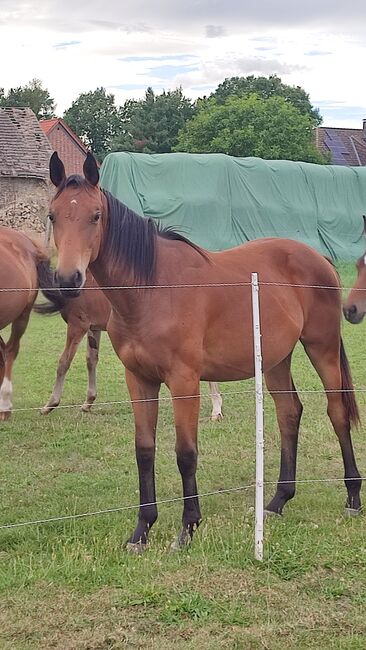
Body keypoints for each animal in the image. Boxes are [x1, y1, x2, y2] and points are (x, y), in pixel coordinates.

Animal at [37, 270, 223, 418]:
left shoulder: (77, 325)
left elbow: (64, 362)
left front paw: (50, 405)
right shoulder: (93, 328)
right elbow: (91, 360)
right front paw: (88, 402)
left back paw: (216, 409)